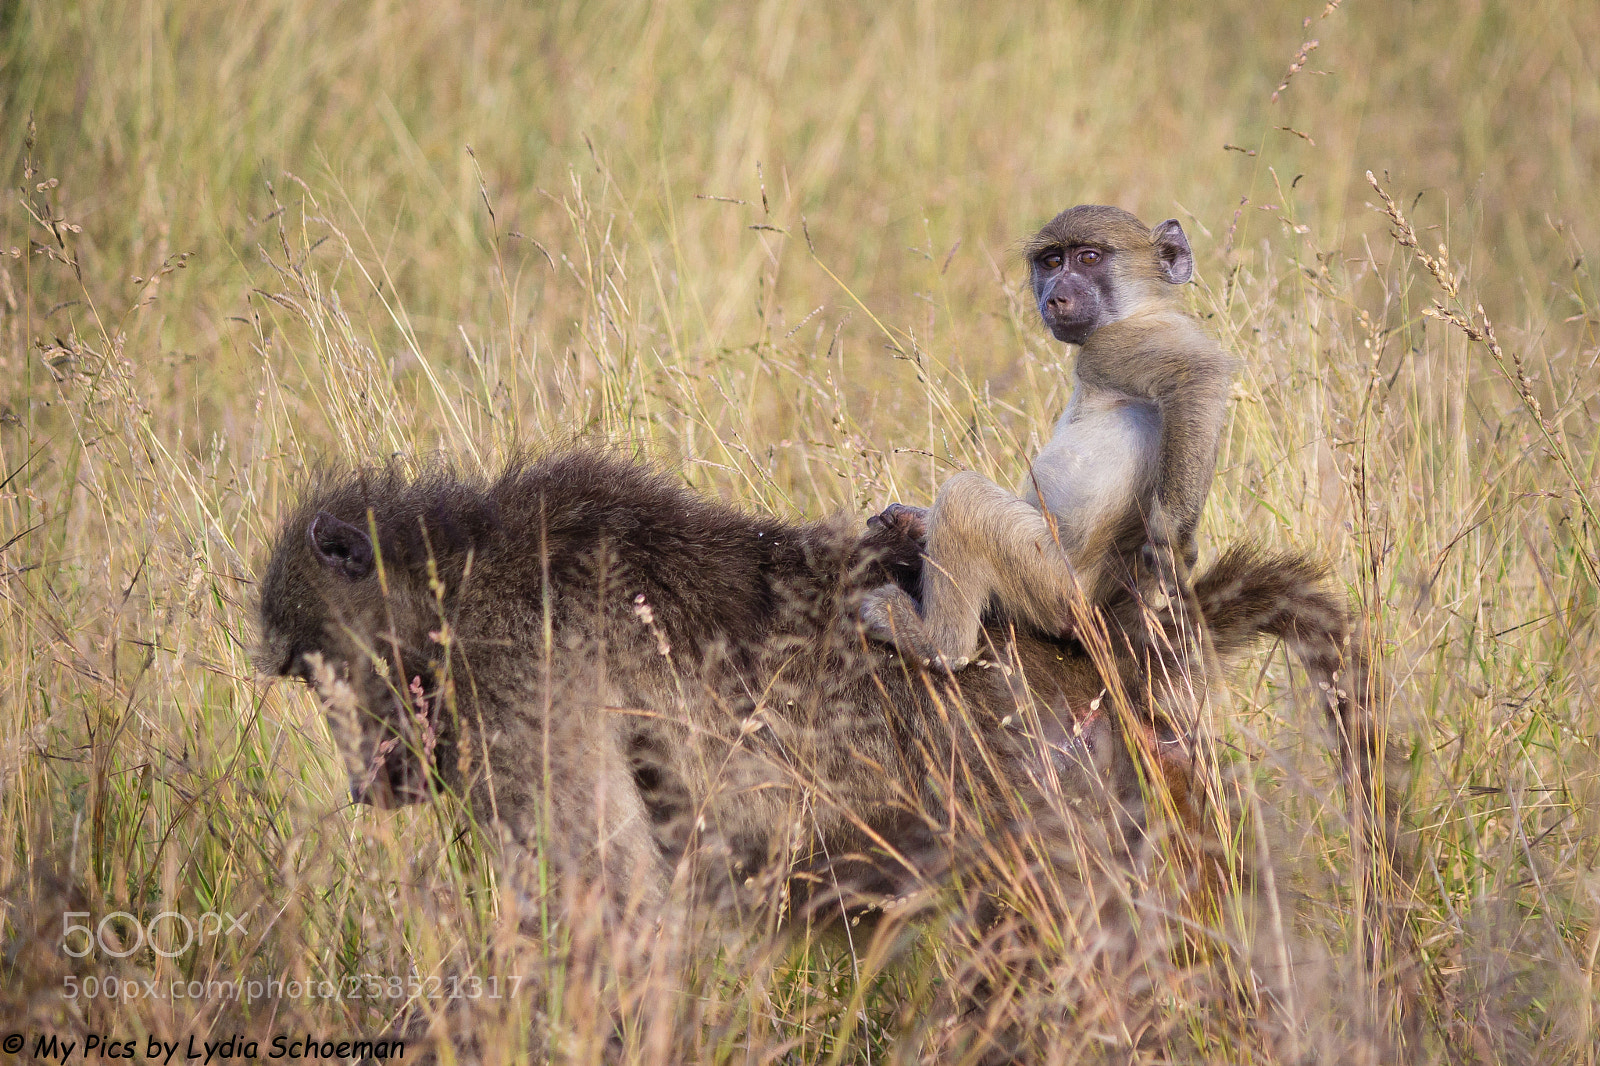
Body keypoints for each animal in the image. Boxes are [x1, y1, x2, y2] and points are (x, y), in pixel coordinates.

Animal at [860, 205, 1238, 673]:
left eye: (1089, 257)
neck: (1138, 309)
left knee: (964, 497)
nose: (1055, 297)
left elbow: (1197, 376)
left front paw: (1170, 546)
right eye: (1052, 262)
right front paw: (912, 519)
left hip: (1056, 587)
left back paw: (934, 642)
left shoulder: (1115, 346)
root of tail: (1101, 609)